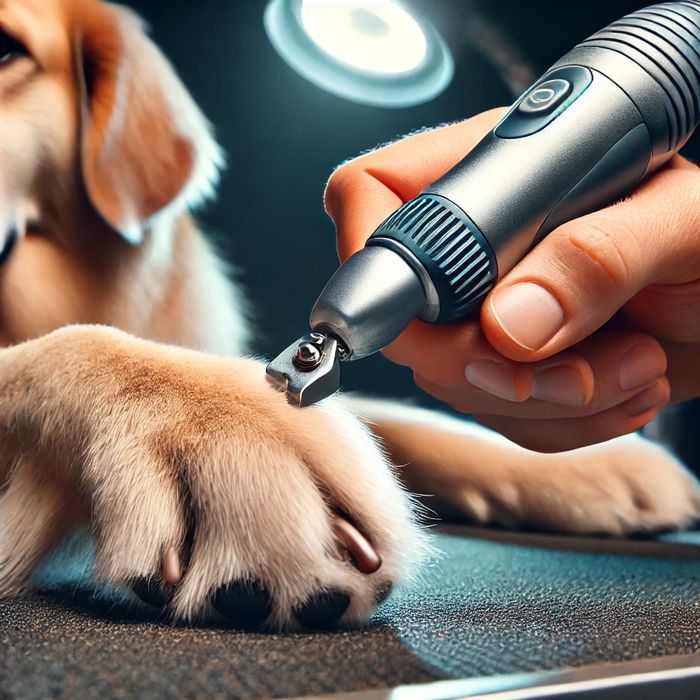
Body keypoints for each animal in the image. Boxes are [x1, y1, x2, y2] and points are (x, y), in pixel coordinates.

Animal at [0, 0, 696, 632]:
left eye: (9, 49)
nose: (309, 353)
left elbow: (391, 416)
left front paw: (592, 466)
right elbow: (67, 347)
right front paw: (229, 433)